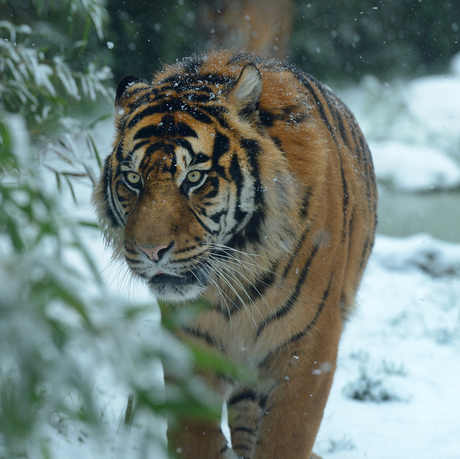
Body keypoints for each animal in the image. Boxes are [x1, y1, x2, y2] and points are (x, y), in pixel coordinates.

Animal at [91, 50, 376, 459]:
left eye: (194, 178)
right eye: (133, 179)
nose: (150, 250)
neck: (234, 273)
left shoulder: (310, 343)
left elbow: (287, 436)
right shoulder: (188, 337)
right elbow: (191, 434)